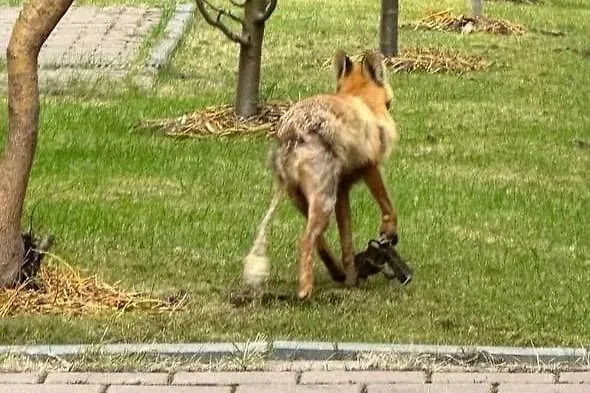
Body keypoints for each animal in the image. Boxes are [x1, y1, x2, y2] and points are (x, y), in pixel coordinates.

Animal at [242, 50, 402, 298]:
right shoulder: (370, 166)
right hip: (324, 200)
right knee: (306, 241)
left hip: (305, 200)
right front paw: (389, 232)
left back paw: (335, 273)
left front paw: (351, 278)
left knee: (319, 243)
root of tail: (290, 137)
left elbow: (347, 243)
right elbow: (388, 208)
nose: (390, 103)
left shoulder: (343, 189)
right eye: (388, 101)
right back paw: (305, 292)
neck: (360, 100)